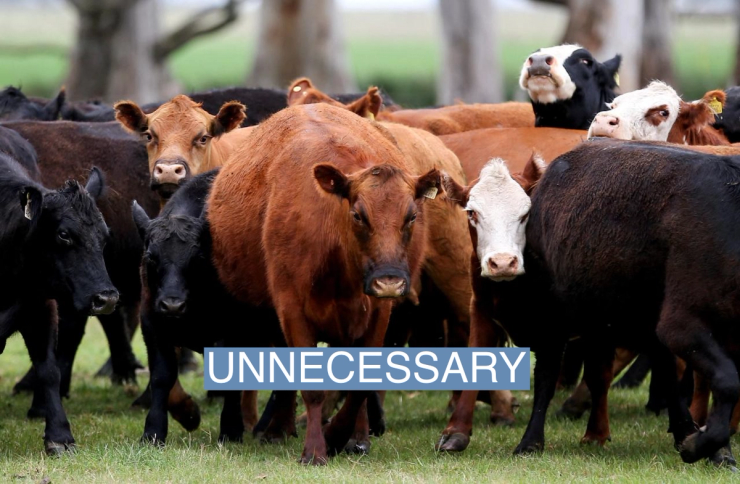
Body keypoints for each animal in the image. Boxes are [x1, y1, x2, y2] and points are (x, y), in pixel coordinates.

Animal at [0, 155, 118, 454]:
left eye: (105, 236)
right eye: (64, 234)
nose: (106, 298)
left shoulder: (41, 310)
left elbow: (50, 371)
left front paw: (59, 435)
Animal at [207, 103, 442, 465]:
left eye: (412, 216)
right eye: (358, 215)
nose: (388, 280)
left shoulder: (378, 312)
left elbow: (360, 385)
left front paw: (341, 436)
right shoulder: (291, 310)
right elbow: (312, 387)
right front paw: (316, 449)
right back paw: (279, 429)